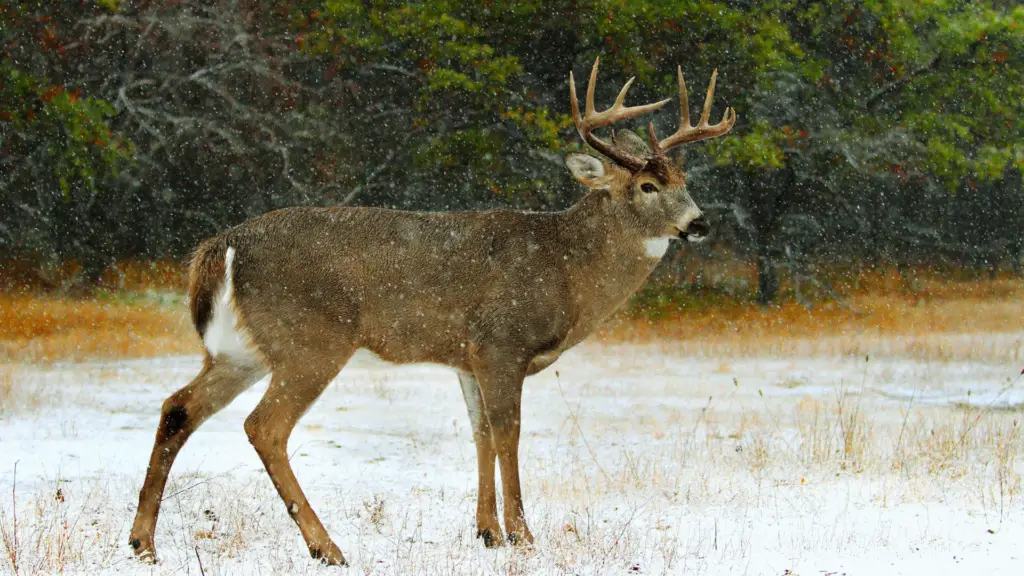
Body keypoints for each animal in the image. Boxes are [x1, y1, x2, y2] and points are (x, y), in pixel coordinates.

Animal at [128, 57, 736, 566]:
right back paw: (327, 548)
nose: (700, 223)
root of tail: (221, 244)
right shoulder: (501, 342)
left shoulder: (467, 356)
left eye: (686, 181)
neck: (566, 267)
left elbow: (481, 433)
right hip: (313, 339)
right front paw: (523, 535)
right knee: (264, 426)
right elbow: (509, 432)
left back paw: (143, 544)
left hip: (243, 348)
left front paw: (487, 532)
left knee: (178, 407)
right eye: (648, 185)